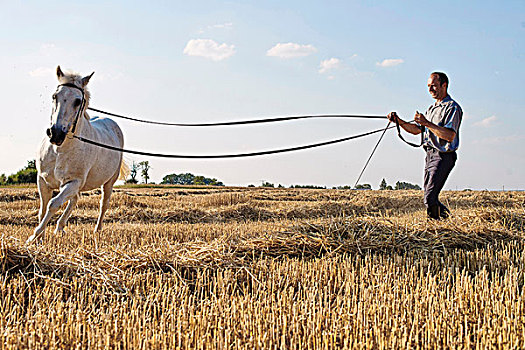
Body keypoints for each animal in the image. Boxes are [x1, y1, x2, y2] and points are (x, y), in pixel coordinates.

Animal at [26, 65, 128, 243]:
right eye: (55, 96)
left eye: (78, 101)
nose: (55, 134)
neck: (59, 151)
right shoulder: (43, 181)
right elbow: (43, 208)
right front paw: (40, 238)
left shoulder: (73, 182)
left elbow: (53, 204)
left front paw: (34, 236)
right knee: (74, 200)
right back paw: (60, 228)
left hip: (108, 182)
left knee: (103, 204)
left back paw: (96, 230)